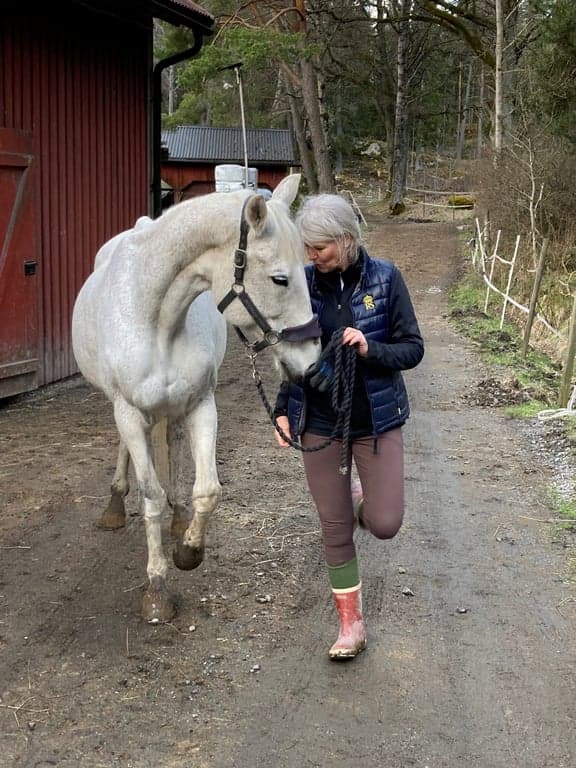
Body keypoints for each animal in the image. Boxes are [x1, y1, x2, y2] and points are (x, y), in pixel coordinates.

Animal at [71, 176, 320, 624]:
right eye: (280, 279)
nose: (309, 363)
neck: (156, 319)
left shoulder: (201, 405)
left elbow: (207, 491)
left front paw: (188, 550)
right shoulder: (128, 412)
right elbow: (149, 496)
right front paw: (156, 589)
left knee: (170, 444)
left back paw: (178, 514)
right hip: (122, 409)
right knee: (130, 454)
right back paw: (115, 504)